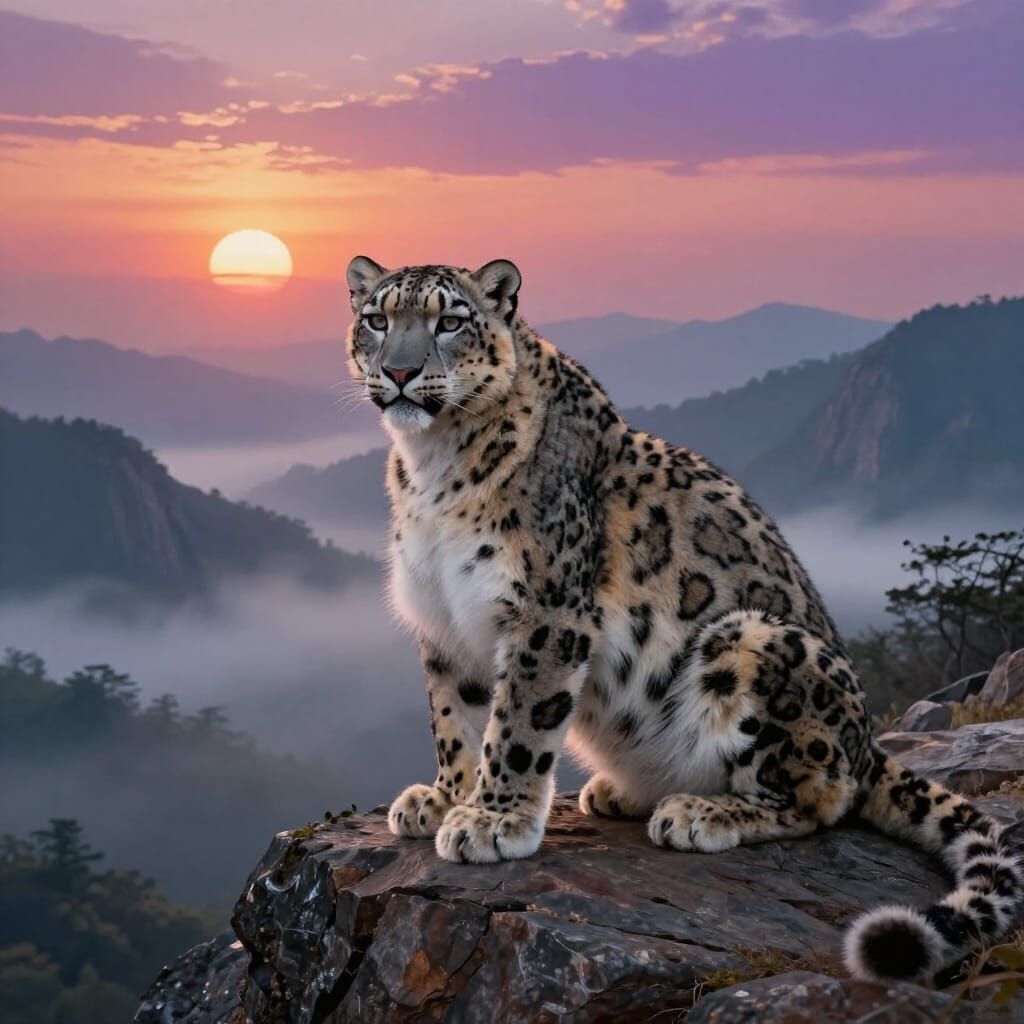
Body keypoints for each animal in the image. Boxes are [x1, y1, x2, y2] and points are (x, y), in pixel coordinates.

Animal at [344, 254, 1021, 986]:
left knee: (818, 798)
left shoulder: (545, 610)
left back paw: (698, 812)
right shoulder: (443, 620)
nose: (400, 372)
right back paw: (622, 793)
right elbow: (455, 720)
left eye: (449, 321)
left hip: (750, 641)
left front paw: (494, 821)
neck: (433, 467)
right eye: (377, 318)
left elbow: (518, 723)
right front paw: (444, 798)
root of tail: (867, 740)